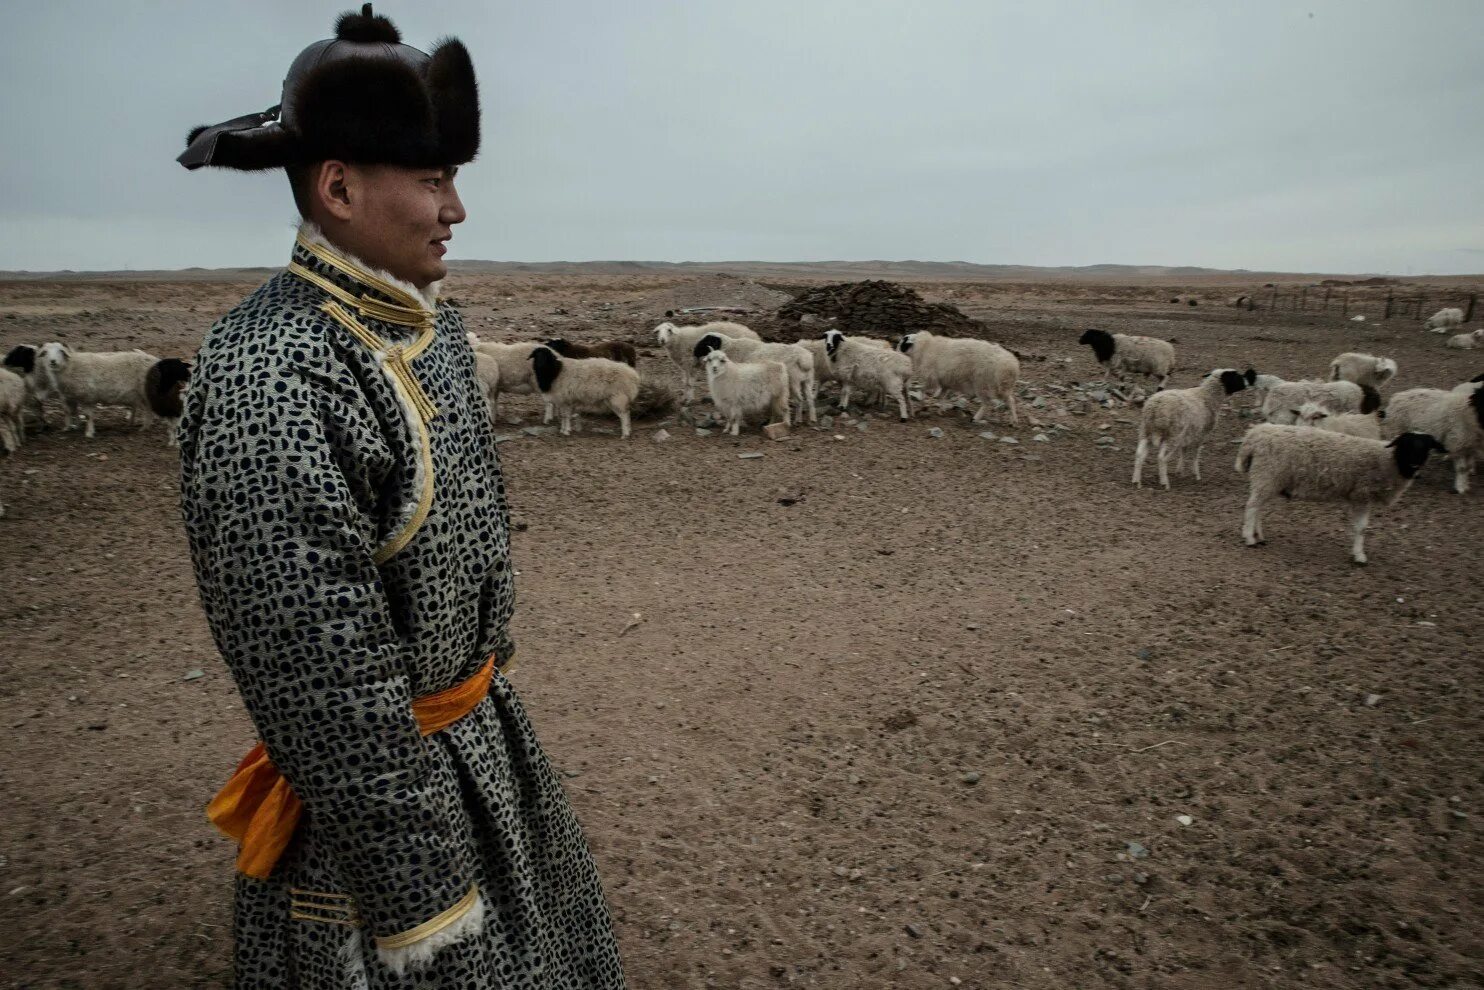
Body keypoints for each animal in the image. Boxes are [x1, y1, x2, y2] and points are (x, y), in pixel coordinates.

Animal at [688, 335, 819, 424]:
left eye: (706, 342)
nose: (694, 352)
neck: (731, 349)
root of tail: (804, 359)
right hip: (807, 381)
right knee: (810, 399)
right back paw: (812, 419)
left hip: (793, 382)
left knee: (799, 400)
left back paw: (797, 420)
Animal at [890, 330, 1020, 424]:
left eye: (902, 344)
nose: (895, 351)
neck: (925, 348)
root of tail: (1010, 366)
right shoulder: (945, 382)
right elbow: (942, 396)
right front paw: (940, 410)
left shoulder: (931, 378)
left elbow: (923, 390)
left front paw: (924, 405)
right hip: (1001, 387)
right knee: (1010, 400)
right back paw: (1013, 421)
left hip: (983, 384)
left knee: (987, 403)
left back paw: (975, 418)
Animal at [1234, 427, 1442, 564]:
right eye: (1407, 444)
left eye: (1426, 447)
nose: (1415, 464)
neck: (1389, 461)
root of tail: (1254, 435)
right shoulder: (1361, 494)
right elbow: (1362, 528)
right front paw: (1359, 555)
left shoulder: (1358, 496)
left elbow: (1359, 527)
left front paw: (1356, 552)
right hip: (1267, 474)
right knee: (1252, 506)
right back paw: (1249, 538)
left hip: (1269, 479)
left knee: (1258, 507)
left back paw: (1259, 535)